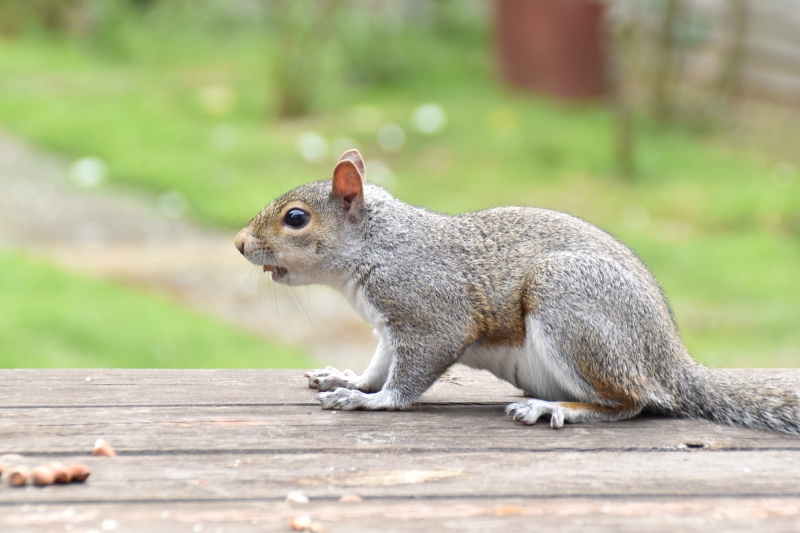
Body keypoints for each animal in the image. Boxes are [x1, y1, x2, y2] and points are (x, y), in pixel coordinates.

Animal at [233, 149, 800, 432]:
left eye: (296, 219)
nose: (239, 244)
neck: (380, 245)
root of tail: (669, 359)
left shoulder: (431, 312)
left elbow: (408, 378)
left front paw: (369, 402)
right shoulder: (391, 328)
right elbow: (379, 365)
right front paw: (349, 378)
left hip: (570, 307)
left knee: (633, 402)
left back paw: (556, 409)